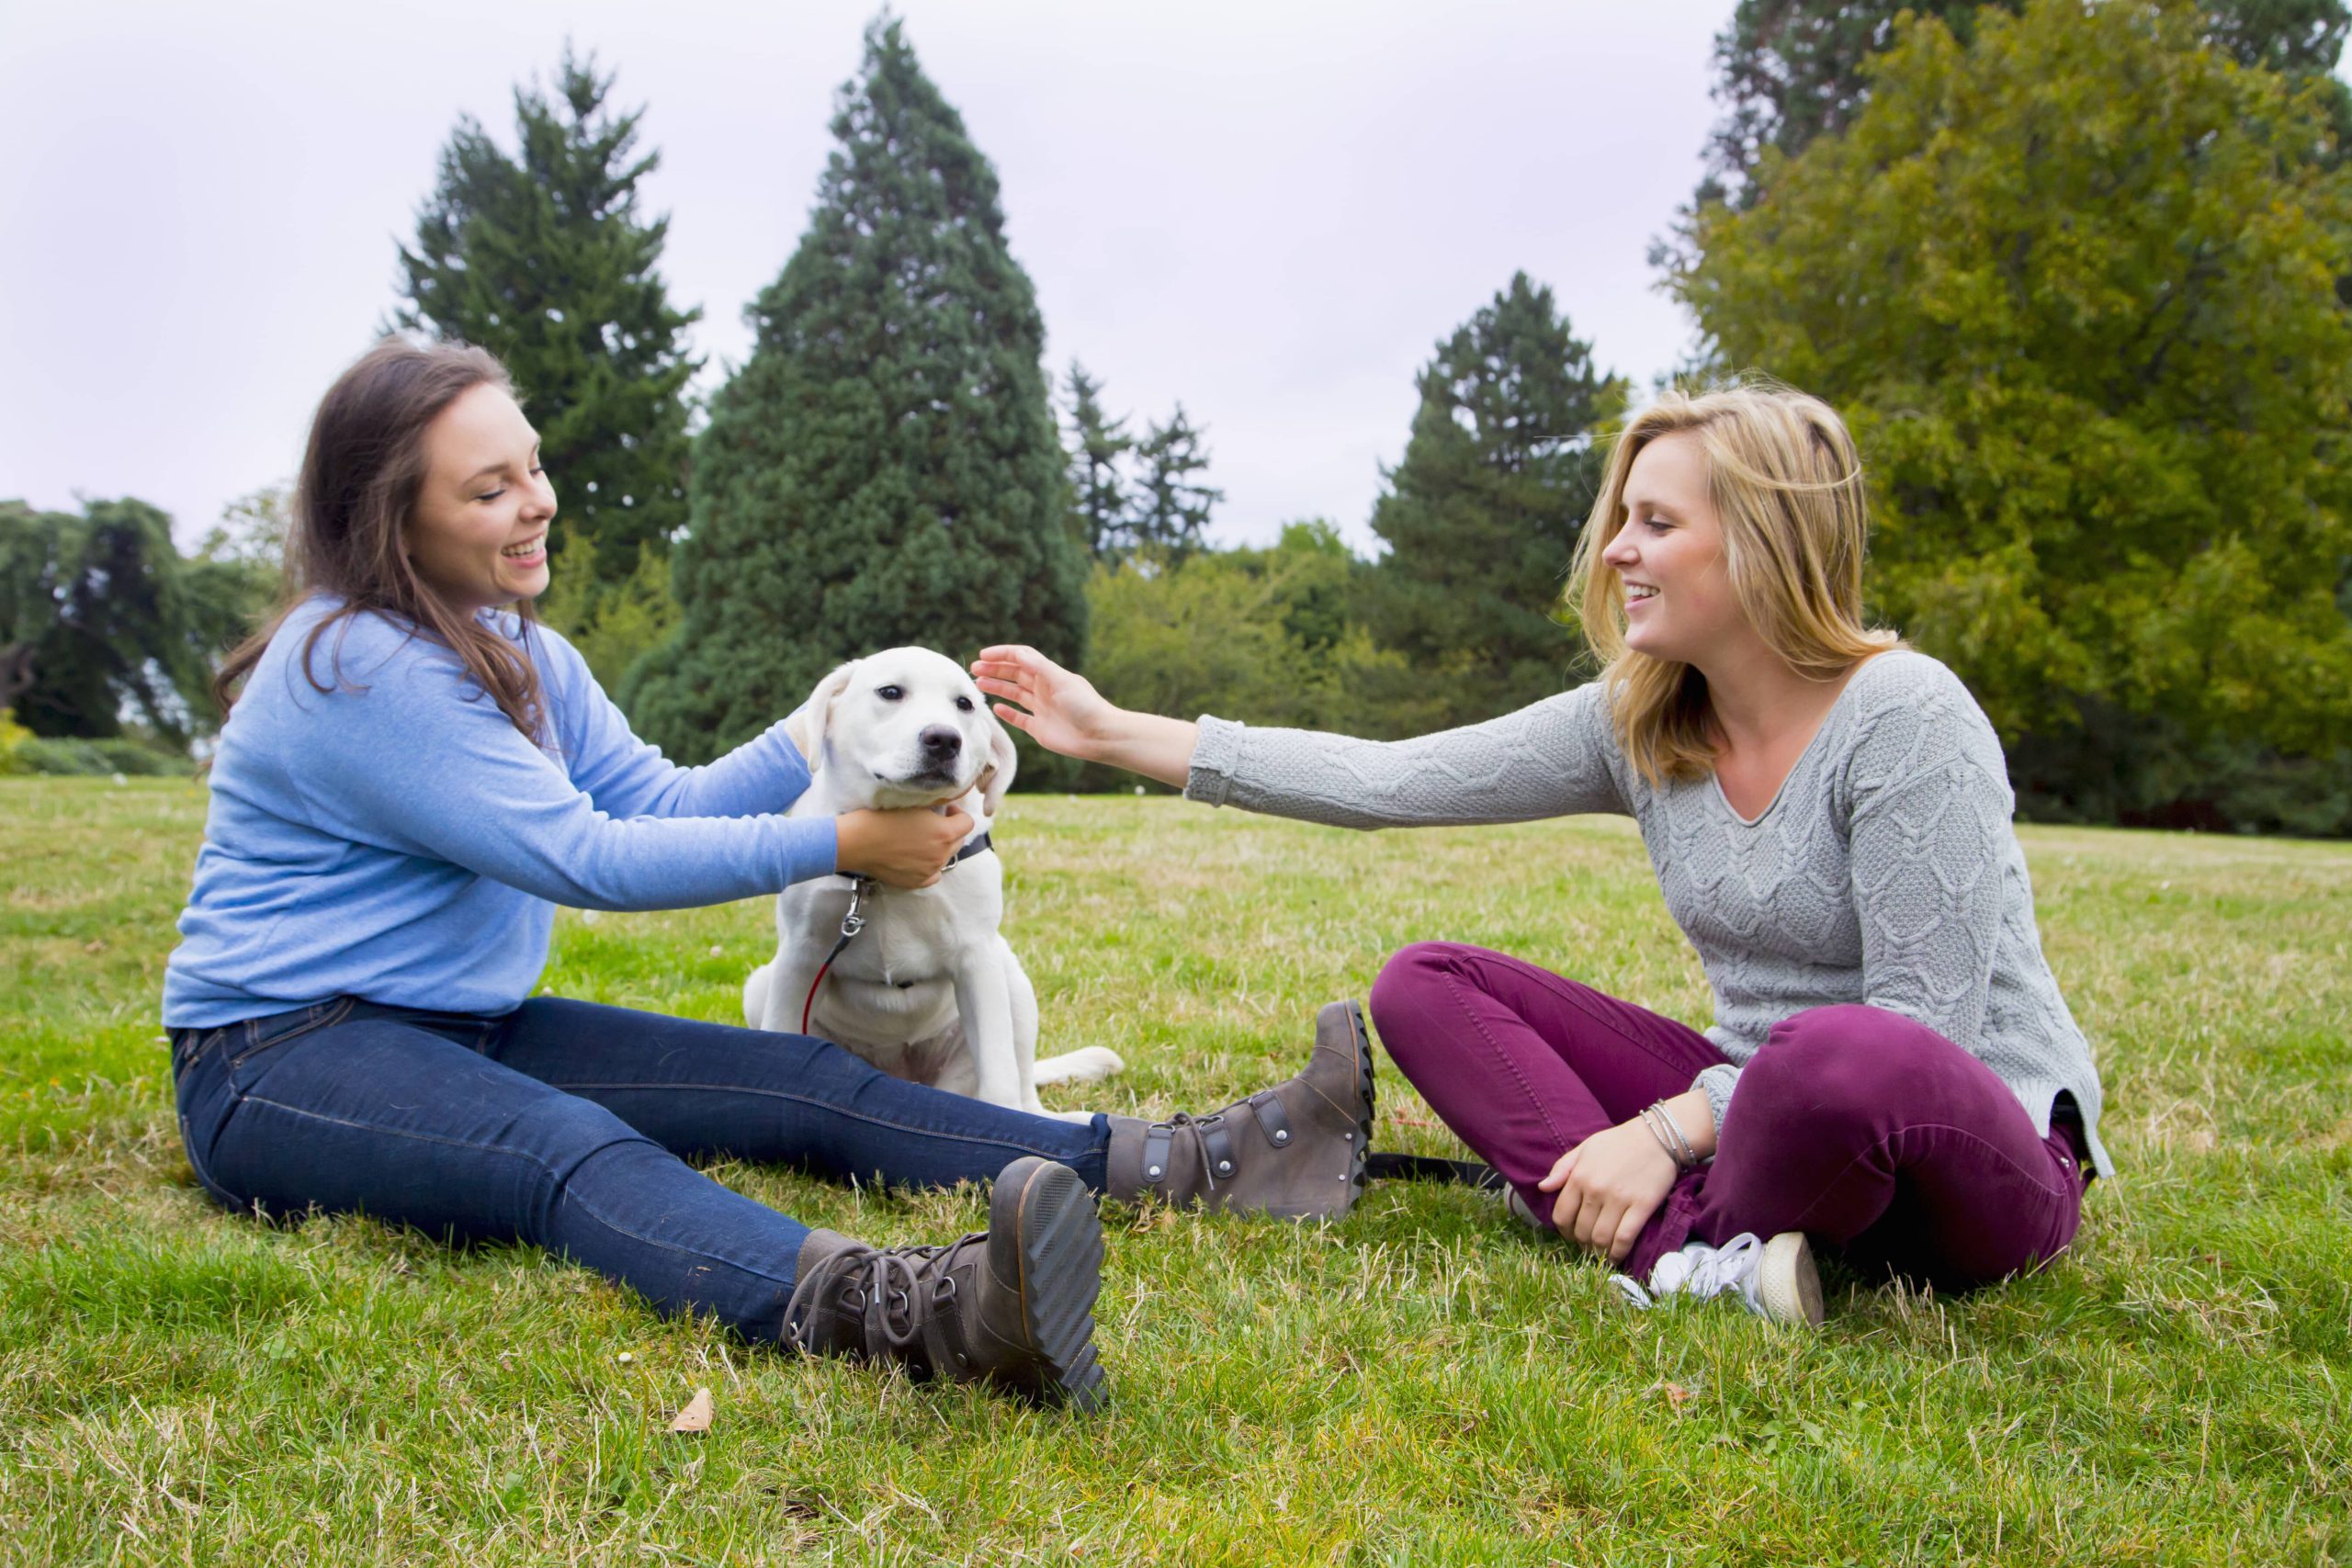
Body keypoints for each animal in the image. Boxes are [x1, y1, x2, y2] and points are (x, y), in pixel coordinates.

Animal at [748, 649, 1124, 1114]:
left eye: (964, 704)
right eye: (890, 692)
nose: (944, 740)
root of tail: (901, 1078)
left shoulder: (977, 958)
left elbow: (998, 1082)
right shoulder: (800, 955)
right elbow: (780, 1037)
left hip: (1011, 982)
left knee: (1017, 1090)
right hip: (761, 984)